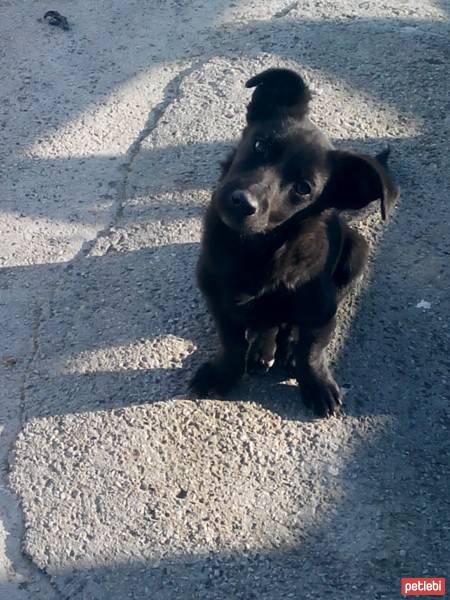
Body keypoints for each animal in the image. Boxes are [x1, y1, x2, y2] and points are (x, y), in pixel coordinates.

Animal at [188, 68, 400, 414]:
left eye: (302, 188)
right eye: (260, 145)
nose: (242, 202)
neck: (257, 250)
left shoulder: (322, 311)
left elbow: (310, 350)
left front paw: (315, 383)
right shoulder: (218, 299)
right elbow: (231, 342)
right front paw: (224, 373)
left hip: (356, 255)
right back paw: (263, 349)